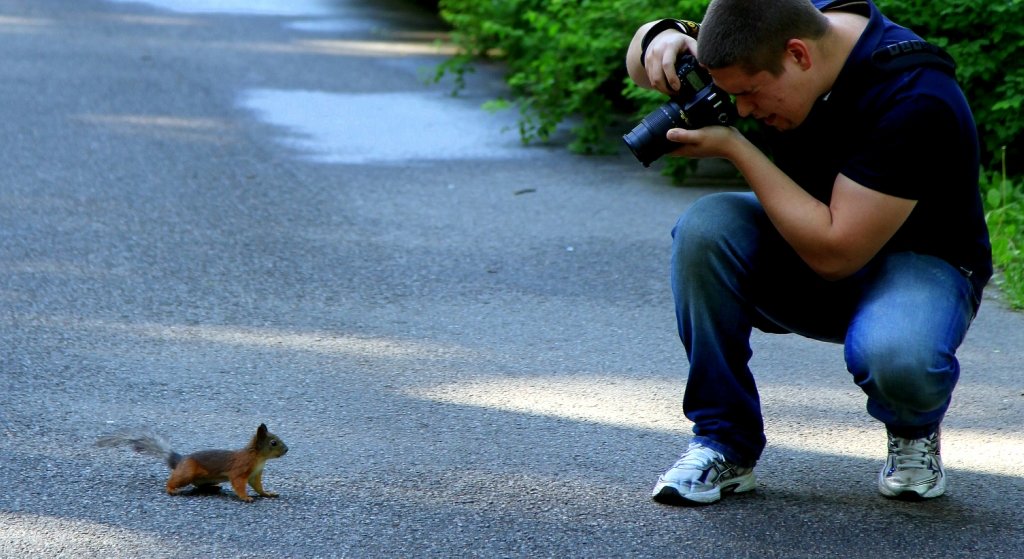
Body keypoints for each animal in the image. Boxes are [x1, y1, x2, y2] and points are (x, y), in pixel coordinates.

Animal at [97, 421, 288, 499]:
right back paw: (171, 489)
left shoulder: (255, 474)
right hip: (186, 473)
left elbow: (258, 486)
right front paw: (246, 498)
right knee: (173, 481)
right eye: (273, 443)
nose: (287, 450)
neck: (258, 458)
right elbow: (238, 484)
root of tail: (180, 461)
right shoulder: (239, 470)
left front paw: (267, 493)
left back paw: (214, 487)